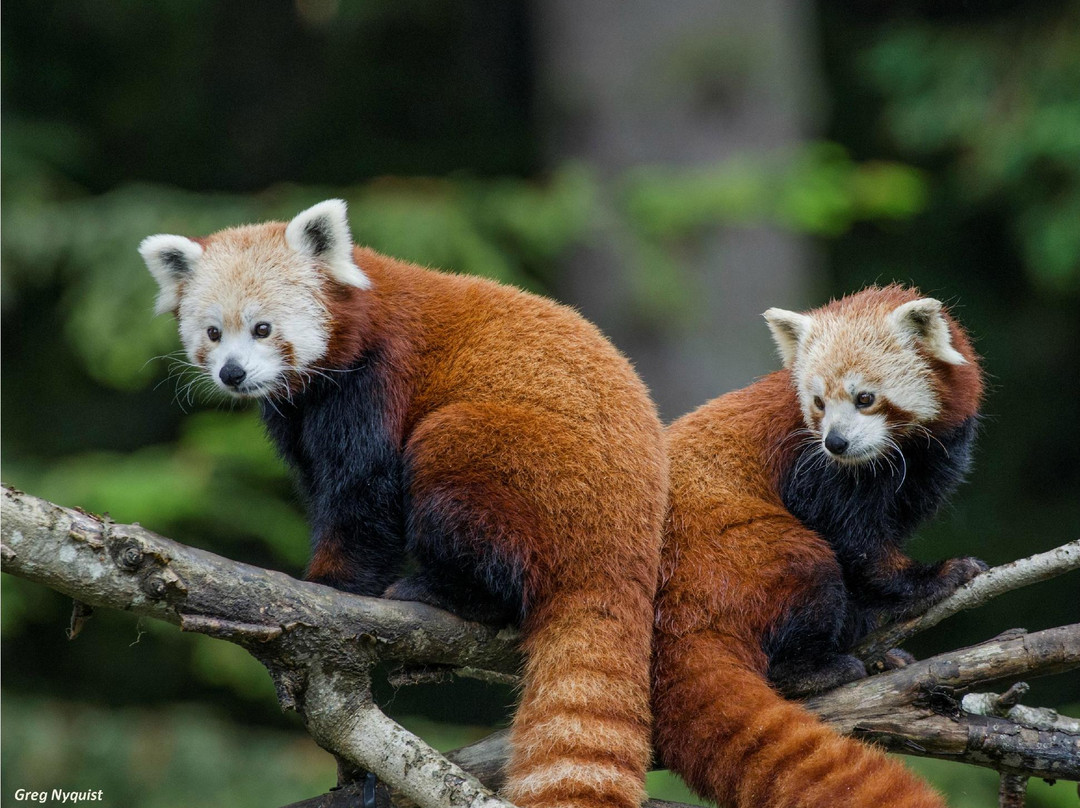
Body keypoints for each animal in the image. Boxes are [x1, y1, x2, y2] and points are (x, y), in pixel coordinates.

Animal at [140, 200, 669, 808]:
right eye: (212, 332)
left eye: (263, 328)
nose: (233, 372)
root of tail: (628, 542)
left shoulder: (375, 381)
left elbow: (364, 496)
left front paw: (332, 586)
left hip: (518, 463)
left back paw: (444, 591)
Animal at [648, 285, 989, 808]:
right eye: (817, 402)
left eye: (865, 398)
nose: (836, 442)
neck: (897, 455)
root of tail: (674, 611)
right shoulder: (812, 472)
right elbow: (856, 546)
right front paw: (933, 579)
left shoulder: (931, 463)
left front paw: (875, 625)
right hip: (749, 552)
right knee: (812, 571)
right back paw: (818, 667)